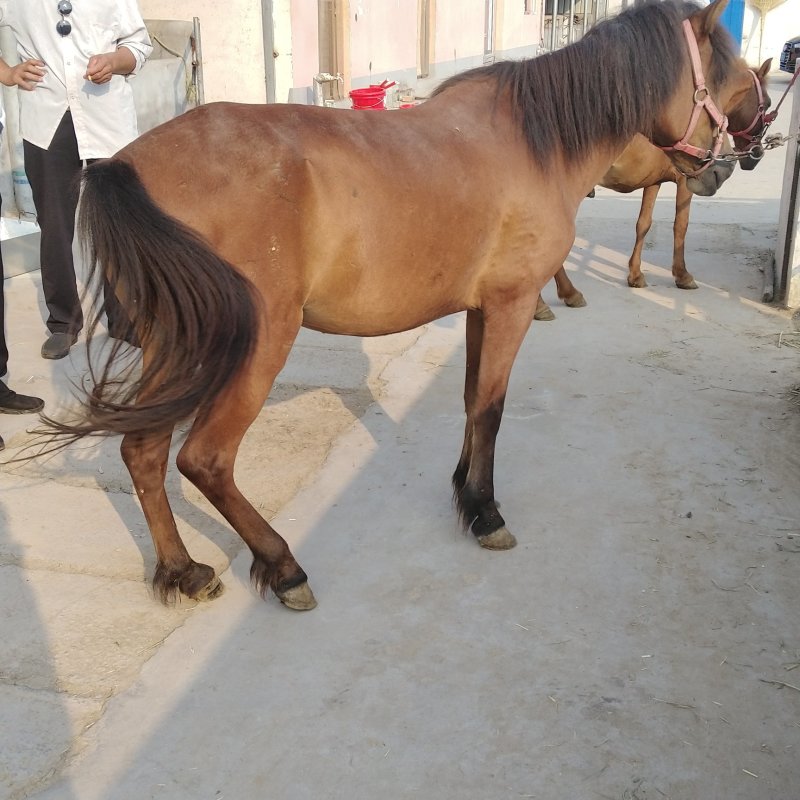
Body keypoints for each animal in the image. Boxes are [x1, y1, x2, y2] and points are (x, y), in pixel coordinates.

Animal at [44, 0, 745, 611]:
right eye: (733, 80)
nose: (723, 168)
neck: (533, 140)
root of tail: (123, 165)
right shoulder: (513, 304)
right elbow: (492, 408)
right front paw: (485, 511)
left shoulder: (480, 309)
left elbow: (471, 399)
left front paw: (463, 490)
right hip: (255, 345)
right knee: (204, 459)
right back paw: (283, 566)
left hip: (180, 346)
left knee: (143, 451)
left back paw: (182, 570)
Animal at [535, 57, 774, 320]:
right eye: (767, 104)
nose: (756, 155)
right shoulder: (685, 182)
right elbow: (681, 225)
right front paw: (682, 275)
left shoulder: (653, 182)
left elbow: (644, 224)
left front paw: (635, 275)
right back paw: (557, 297)